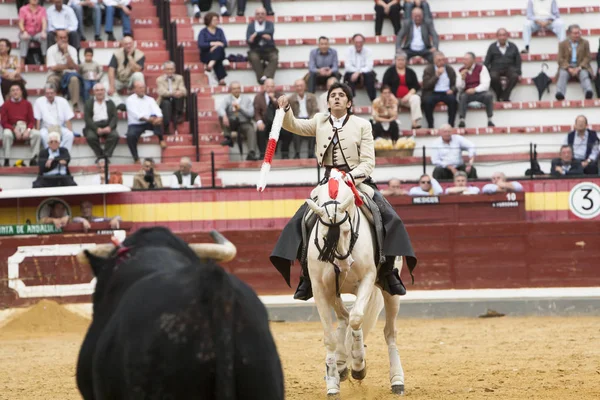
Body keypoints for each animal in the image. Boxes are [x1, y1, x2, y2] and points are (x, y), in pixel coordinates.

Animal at [304, 169, 408, 396]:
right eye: (323, 236)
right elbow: (330, 335)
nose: (344, 265)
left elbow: (357, 318)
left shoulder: (367, 279)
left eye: (346, 229)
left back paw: (397, 380)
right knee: (343, 317)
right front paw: (332, 381)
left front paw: (359, 366)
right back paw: (341, 365)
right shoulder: (319, 288)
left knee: (389, 333)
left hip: (390, 292)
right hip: (334, 291)